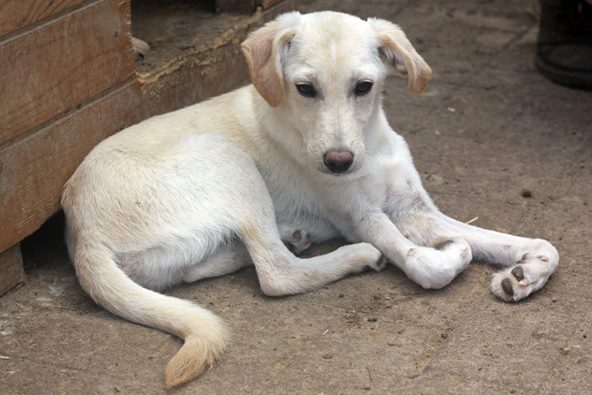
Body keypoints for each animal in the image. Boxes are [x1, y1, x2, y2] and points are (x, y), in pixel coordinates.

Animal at [61, 11, 560, 390]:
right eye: (305, 89)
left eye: (364, 87)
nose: (338, 162)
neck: (370, 145)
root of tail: (80, 233)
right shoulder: (362, 217)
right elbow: (426, 263)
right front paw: (452, 255)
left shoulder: (415, 209)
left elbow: (531, 244)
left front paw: (523, 273)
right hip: (228, 159)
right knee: (276, 274)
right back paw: (354, 256)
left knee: (211, 266)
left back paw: (291, 238)